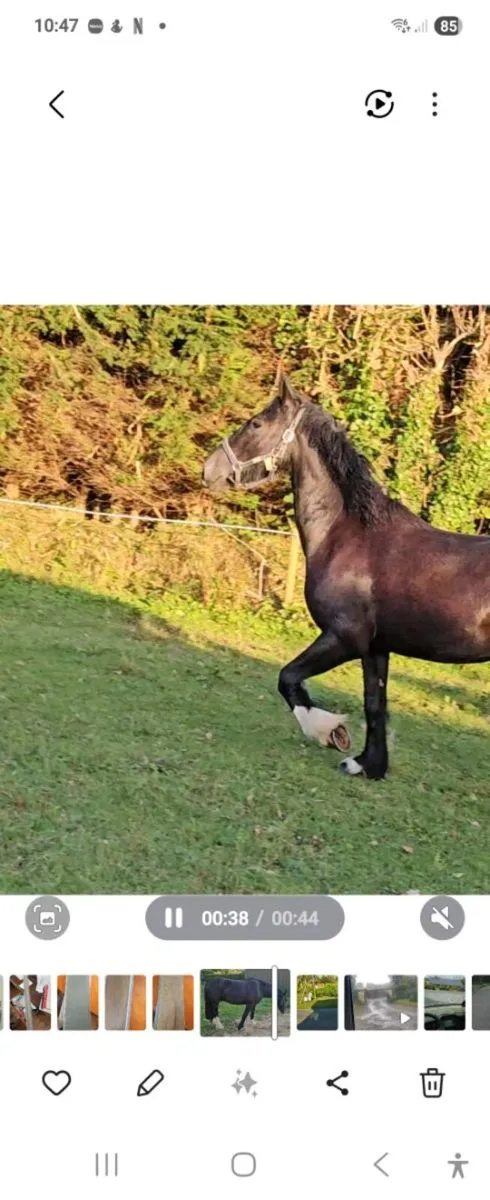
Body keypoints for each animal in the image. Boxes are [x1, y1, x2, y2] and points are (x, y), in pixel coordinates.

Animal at [203, 370, 490, 780]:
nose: (209, 469)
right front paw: (368, 765)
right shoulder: (375, 648)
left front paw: (330, 731)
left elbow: (288, 677)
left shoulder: (344, 637)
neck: (348, 535)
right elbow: (374, 704)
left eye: (256, 423)